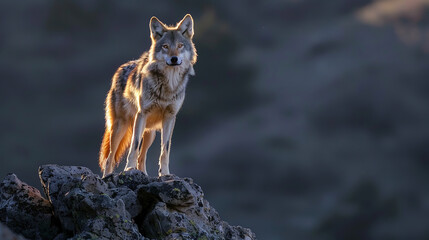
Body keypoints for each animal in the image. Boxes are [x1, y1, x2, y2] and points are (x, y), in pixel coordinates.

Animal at [98, 14, 196, 176]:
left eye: (180, 46)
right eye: (165, 46)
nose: (174, 59)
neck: (168, 84)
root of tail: (120, 69)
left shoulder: (170, 117)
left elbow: (165, 150)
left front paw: (165, 174)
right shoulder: (142, 114)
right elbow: (134, 146)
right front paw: (128, 169)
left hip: (150, 133)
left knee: (141, 158)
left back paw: (143, 174)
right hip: (120, 127)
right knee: (109, 158)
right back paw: (107, 176)